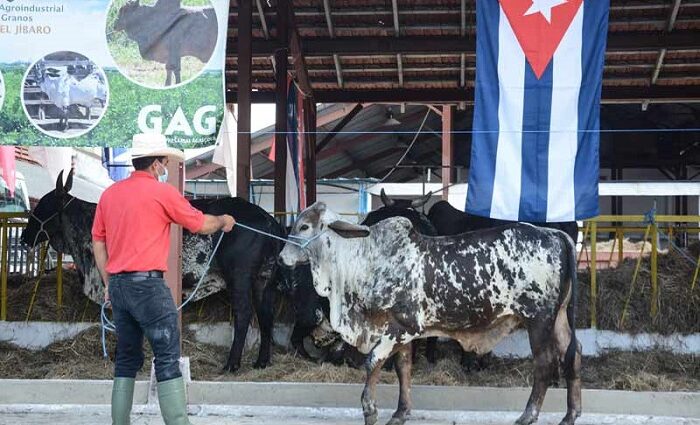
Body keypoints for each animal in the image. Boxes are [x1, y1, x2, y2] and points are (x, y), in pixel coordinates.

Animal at [21, 169, 284, 372]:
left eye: (43, 205)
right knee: (266, 314)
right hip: (264, 279)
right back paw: (262, 362)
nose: (24, 237)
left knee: (244, 314)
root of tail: (269, 220)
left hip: (239, 277)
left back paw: (232, 364)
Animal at [282, 201, 584, 424]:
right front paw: (400, 413)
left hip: (539, 319)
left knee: (545, 363)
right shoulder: (401, 331)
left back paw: (528, 415)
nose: (282, 258)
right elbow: (403, 368)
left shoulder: (400, 329)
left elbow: (373, 362)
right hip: (559, 318)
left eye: (304, 226)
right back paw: (570, 415)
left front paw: (370, 410)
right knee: (574, 353)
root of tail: (555, 235)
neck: (365, 258)